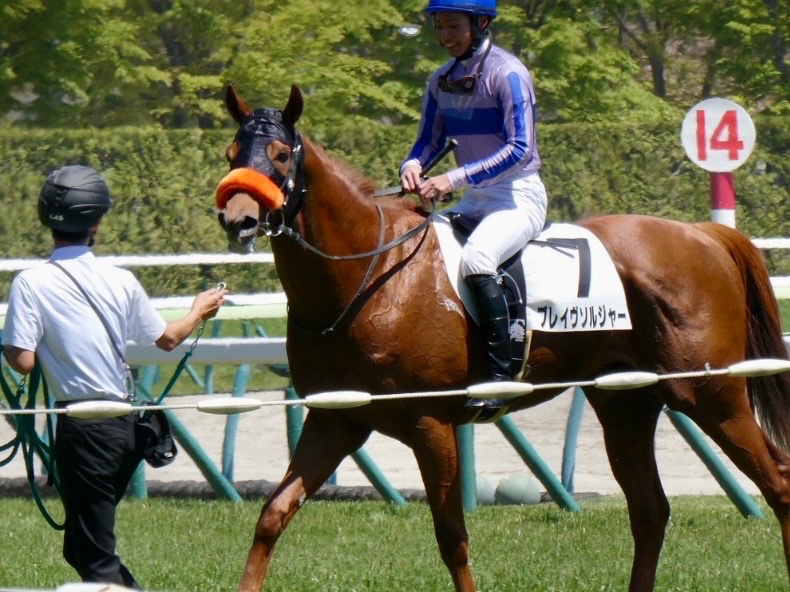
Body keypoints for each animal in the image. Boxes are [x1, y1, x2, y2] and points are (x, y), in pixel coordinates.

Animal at [214, 84, 790, 592]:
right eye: (231, 153)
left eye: (281, 154)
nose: (236, 219)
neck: (369, 275)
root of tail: (704, 235)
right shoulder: (335, 420)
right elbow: (273, 513)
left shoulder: (432, 423)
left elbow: (452, 537)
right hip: (626, 404)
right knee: (650, 510)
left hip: (711, 394)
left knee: (778, 484)